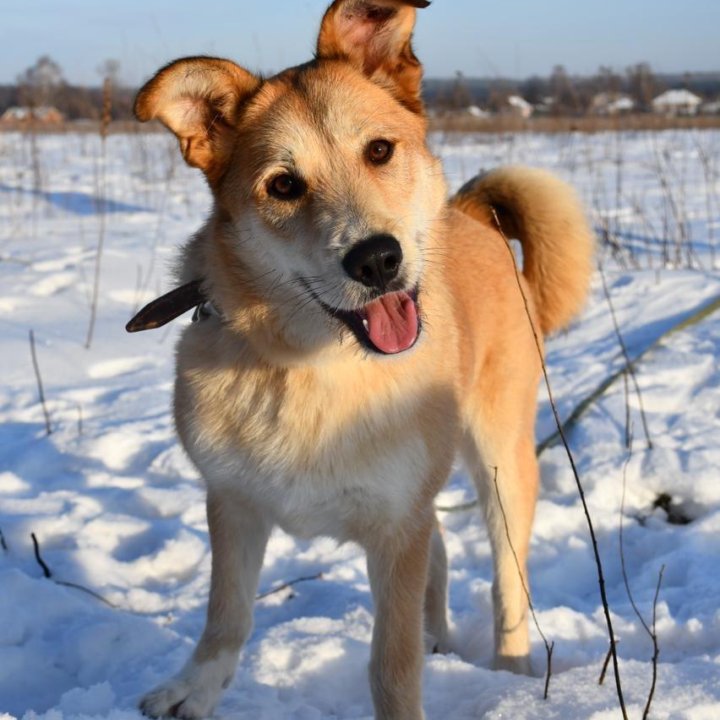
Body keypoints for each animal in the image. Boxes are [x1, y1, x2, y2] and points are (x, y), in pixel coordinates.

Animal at [129, 2, 592, 716]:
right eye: (283, 185)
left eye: (378, 150)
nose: (377, 260)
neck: (313, 365)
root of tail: (469, 214)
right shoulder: (234, 503)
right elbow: (227, 616)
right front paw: (194, 689)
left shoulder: (398, 525)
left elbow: (391, 667)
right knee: (442, 555)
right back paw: (440, 639)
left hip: (502, 461)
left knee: (506, 582)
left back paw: (511, 673)